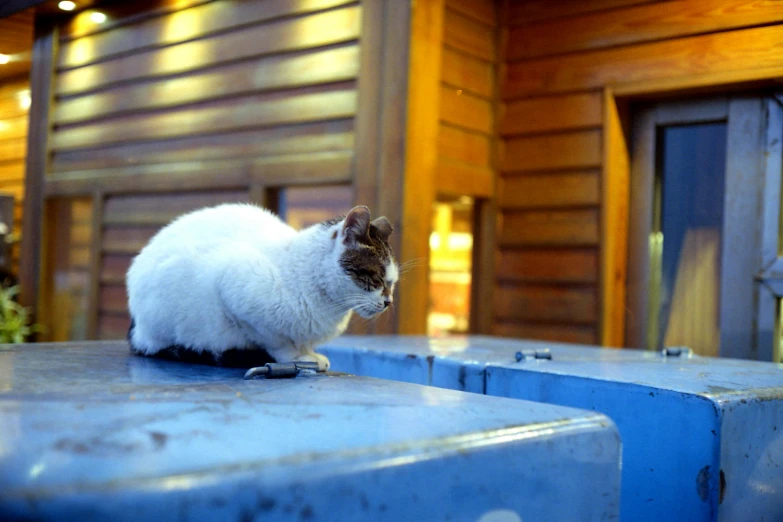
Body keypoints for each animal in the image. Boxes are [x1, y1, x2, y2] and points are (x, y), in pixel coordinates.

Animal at [129, 203, 402, 370]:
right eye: (377, 278)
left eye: (392, 283)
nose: (388, 302)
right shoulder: (232, 285)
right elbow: (275, 340)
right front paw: (296, 357)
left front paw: (310, 354)